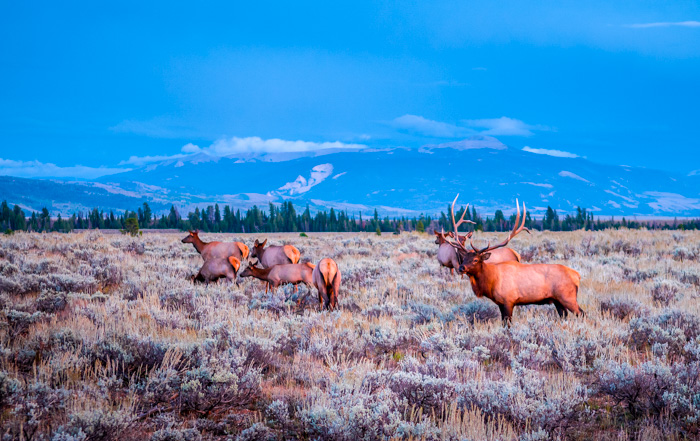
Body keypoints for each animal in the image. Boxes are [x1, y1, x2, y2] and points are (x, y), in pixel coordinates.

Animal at [442, 194, 584, 322]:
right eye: (464, 257)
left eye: (476, 260)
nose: (461, 268)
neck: (491, 281)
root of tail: (577, 275)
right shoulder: (500, 304)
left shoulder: (508, 301)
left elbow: (507, 325)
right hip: (557, 300)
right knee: (564, 316)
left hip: (568, 297)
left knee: (582, 313)